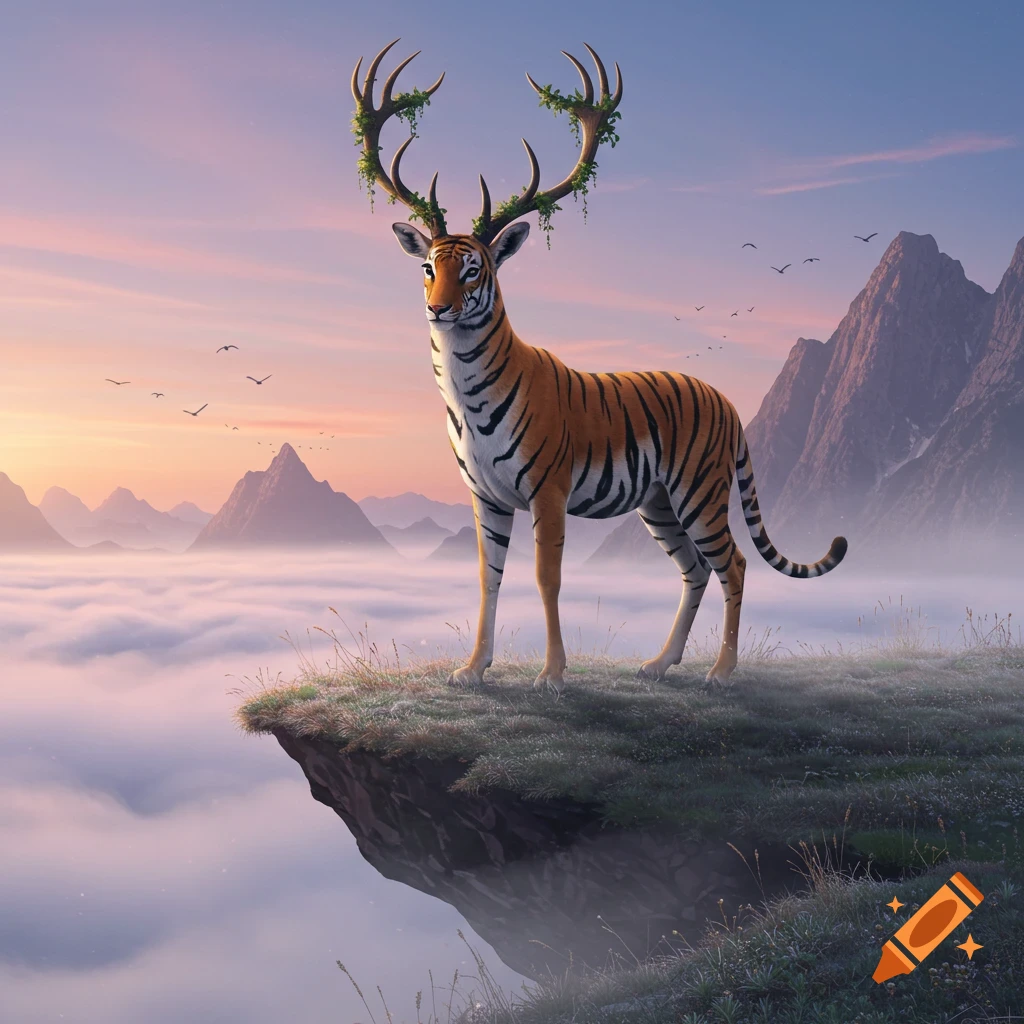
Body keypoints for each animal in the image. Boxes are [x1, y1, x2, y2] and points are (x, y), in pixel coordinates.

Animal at [353, 40, 847, 693]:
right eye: (428, 269)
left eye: (474, 271)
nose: (437, 309)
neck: (463, 388)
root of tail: (727, 401)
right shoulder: (486, 498)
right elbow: (488, 579)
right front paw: (473, 669)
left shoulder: (548, 492)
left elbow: (547, 578)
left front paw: (552, 675)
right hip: (658, 503)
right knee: (694, 568)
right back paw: (660, 663)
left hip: (700, 492)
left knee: (735, 564)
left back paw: (720, 671)